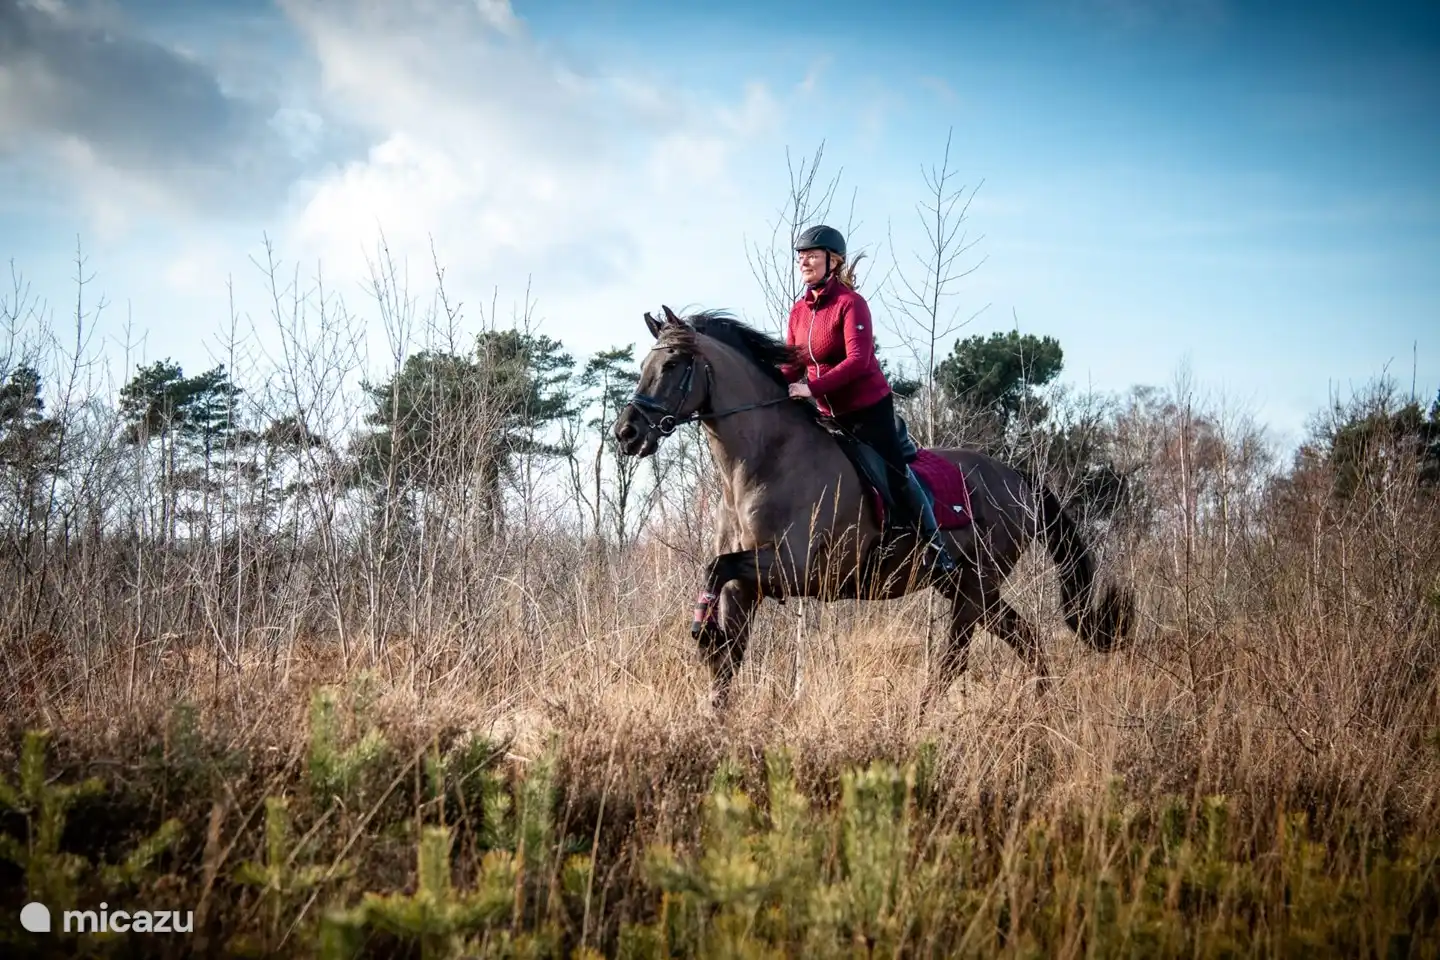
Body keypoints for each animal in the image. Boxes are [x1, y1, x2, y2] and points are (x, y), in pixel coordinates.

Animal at [610, 305, 1134, 716]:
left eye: (674, 364)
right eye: (644, 364)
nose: (626, 433)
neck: (760, 463)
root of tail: (1020, 479)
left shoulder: (794, 568)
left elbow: (714, 568)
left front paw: (702, 635)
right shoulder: (746, 586)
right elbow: (727, 646)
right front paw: (713, 701)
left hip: (974, 586)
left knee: (955, 658)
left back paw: (922, 718)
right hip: (968, 588)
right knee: (1023, 637)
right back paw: (1047, 704)